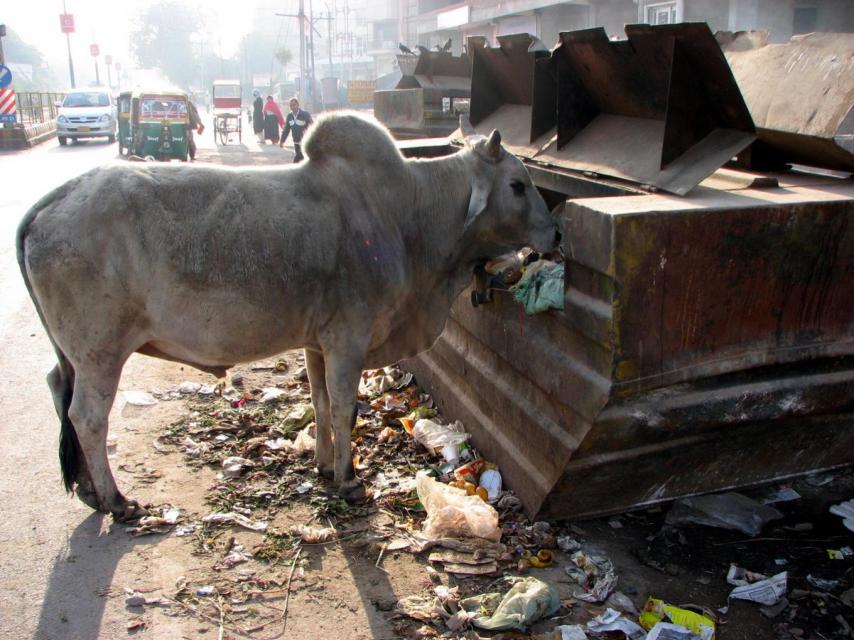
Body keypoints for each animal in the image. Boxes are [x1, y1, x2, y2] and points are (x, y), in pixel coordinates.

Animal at [17, 111, 560, 521]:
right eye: (517, 184)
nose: (555, 233)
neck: (406, 213)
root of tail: (51, 201)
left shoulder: (316, 343)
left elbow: (318, 403)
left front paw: (322, 467)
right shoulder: (348, 339)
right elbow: (344, 408)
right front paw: (348, 479)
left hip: (73, 355)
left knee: (58, 390)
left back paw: (89, 489)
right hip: (101, 352)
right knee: (87, 416)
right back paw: (115, 499)